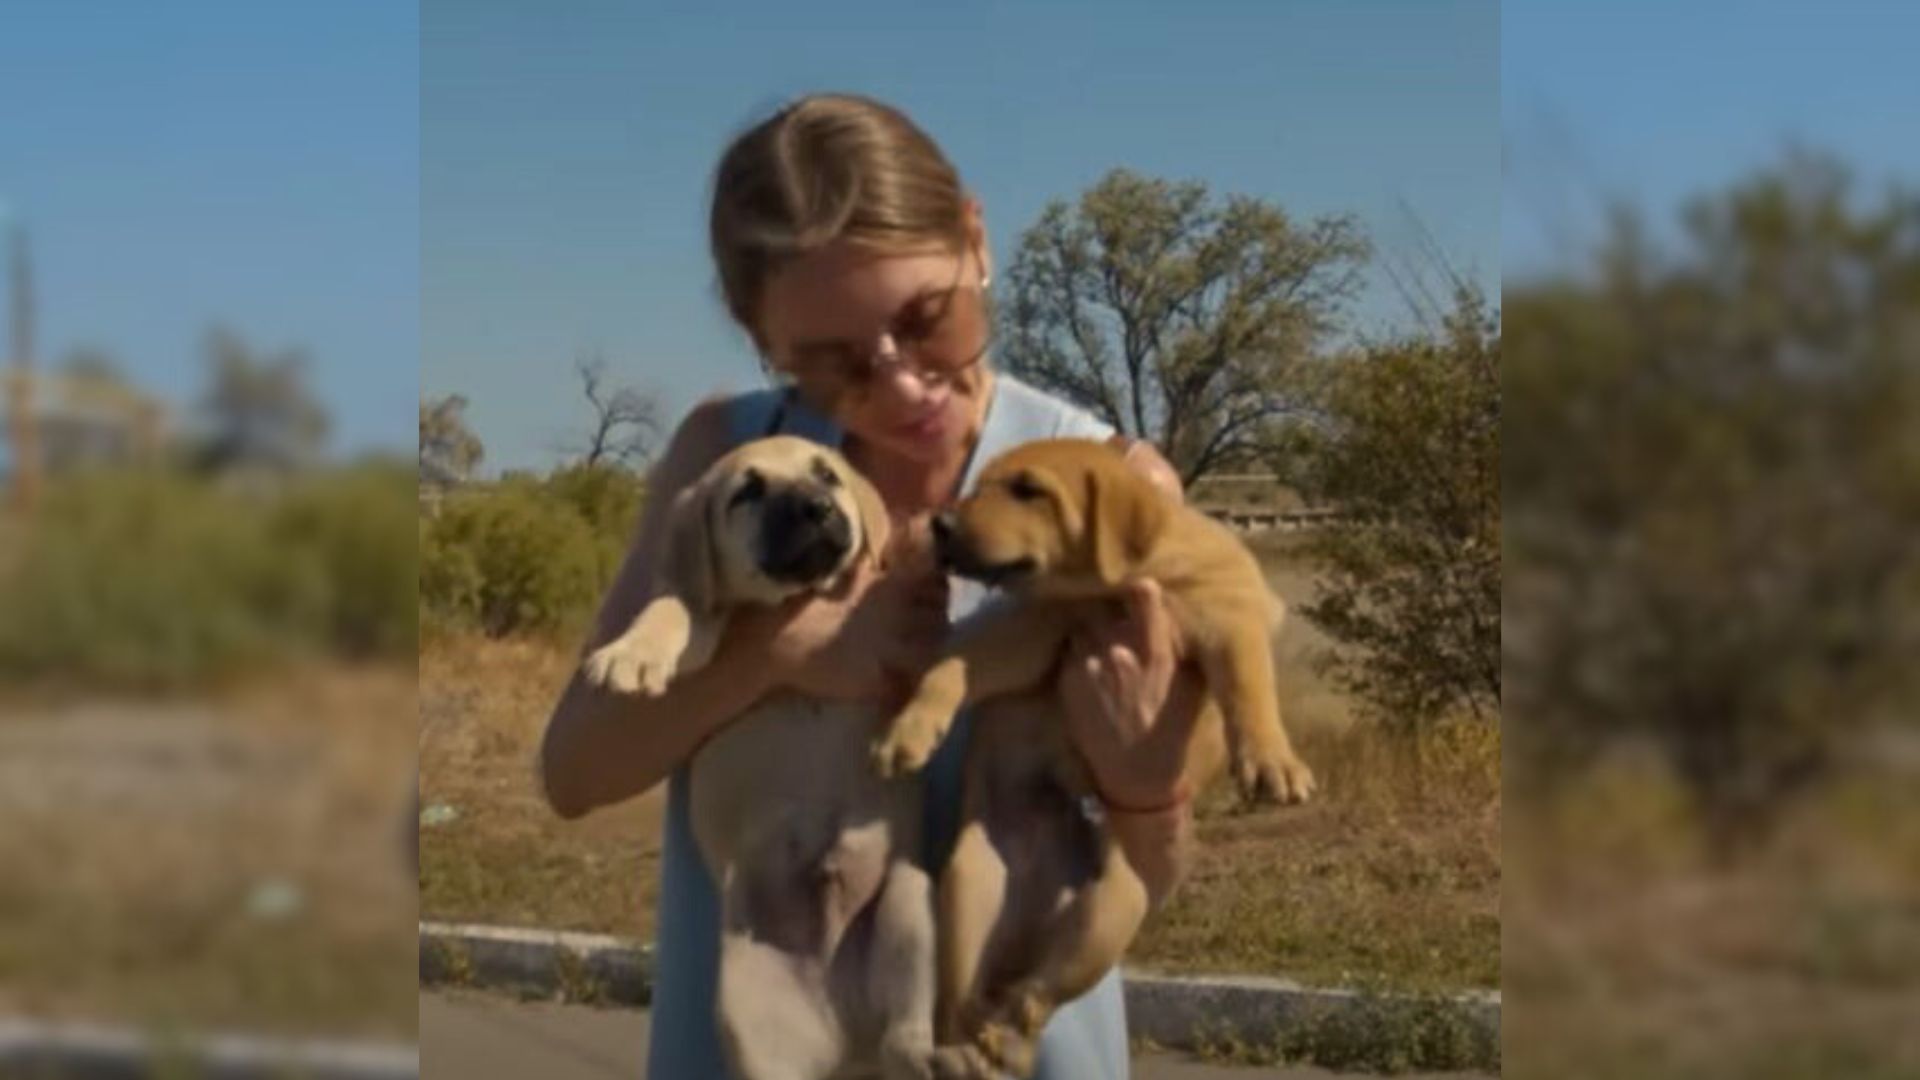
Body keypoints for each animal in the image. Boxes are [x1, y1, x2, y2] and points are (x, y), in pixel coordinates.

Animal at [583, 434, 944, 1076]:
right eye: (745, 493)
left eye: (827, 475)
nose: (817, 509)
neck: (796, 598)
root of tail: (847, 1034)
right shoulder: (707, 629)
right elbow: (671, 607)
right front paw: (630, 653)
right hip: (747, 1005)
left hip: (909, 905)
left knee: (904, 1031)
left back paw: (927, 1053)